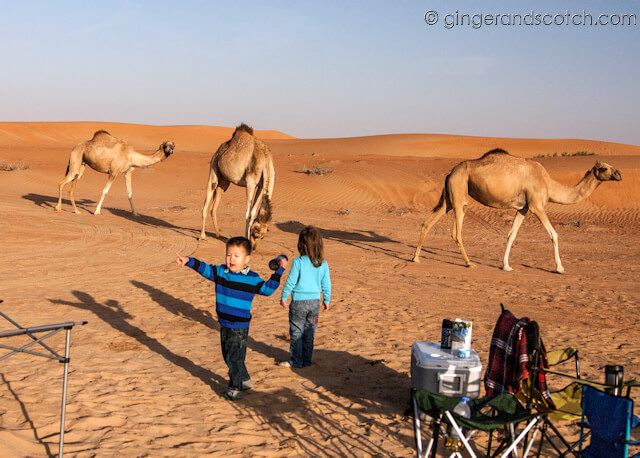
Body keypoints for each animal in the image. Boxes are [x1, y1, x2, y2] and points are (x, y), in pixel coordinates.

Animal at [412, 149, 622, 273]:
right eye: (604, 168)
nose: (619, 174)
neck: (547, 182)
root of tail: (450, 172)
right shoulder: (537, 205)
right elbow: (554, 234)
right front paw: (560, 267)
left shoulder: (524, 209)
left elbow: (511, 235)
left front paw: (505, 265)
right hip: (459, 194)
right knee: (456, 232)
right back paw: (469, 262)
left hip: (449, 198)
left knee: (428, 222)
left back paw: (415, 258)